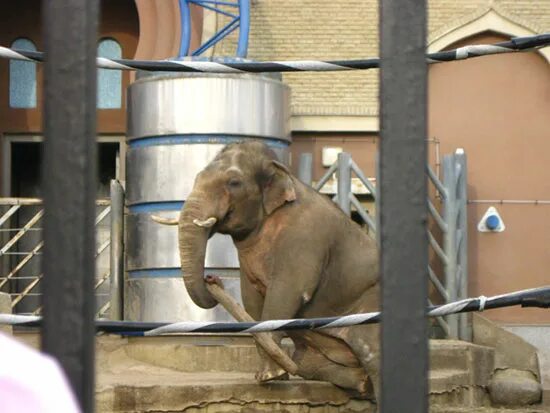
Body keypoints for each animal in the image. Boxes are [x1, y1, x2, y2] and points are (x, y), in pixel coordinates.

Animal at [166, 141, 380, 400]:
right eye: (197, 177)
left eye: (234, 182)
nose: (212, 278)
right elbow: (251, 298)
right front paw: (271, 376)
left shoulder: (305, 235)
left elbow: (287, 292)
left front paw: (270, 376)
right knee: (314, 366)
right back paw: (361, 384)